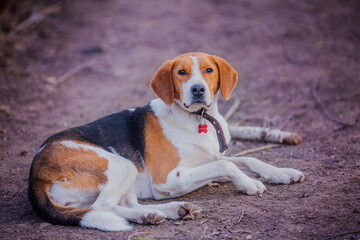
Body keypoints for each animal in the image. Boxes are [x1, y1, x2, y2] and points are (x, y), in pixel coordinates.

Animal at [28, 52, 304, 231]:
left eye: (209, 70)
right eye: (181, 72)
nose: (197, 90)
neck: (198, 119)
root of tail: (35, 176)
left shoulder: (210, 157)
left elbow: (248, 159)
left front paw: (282, 173)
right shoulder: (168, 179)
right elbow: (227, 165)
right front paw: (249, 184)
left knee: (119, 204)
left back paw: (160, 212)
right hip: (121, 164)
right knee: (103, 205)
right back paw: (157, 211)